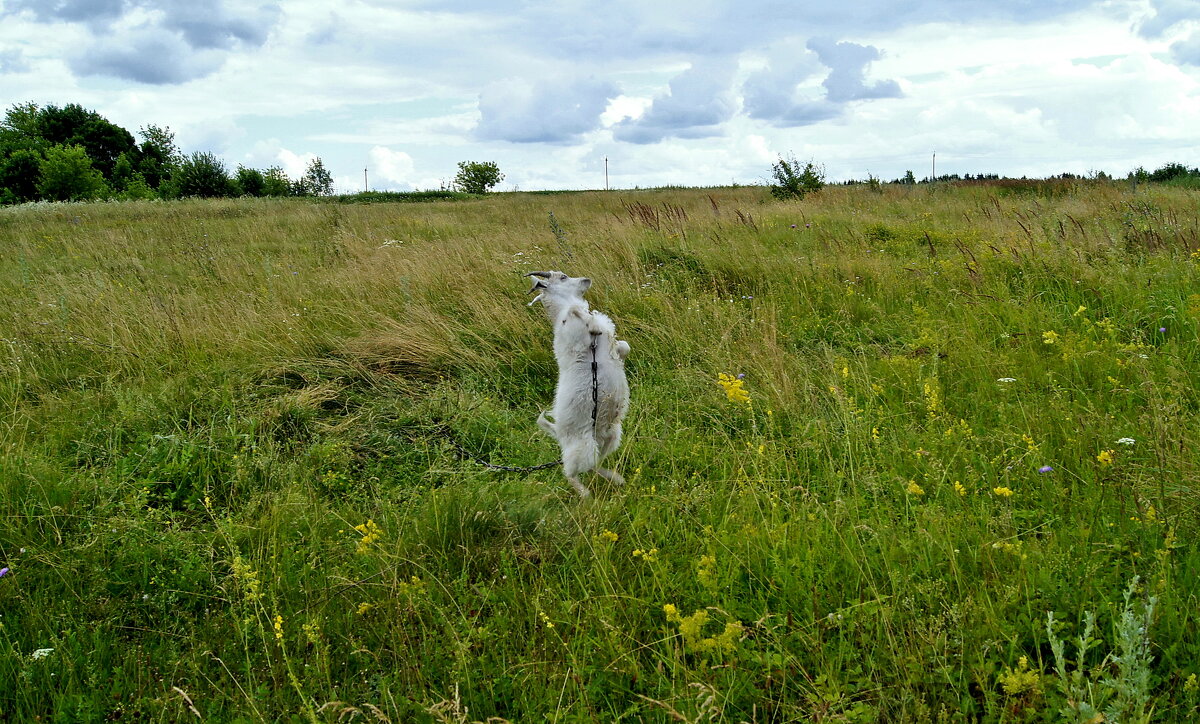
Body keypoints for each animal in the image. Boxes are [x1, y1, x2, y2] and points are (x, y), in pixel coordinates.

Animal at [528, 270, 633, 499]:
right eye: (563, 278)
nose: (587, 279)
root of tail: (558, 433)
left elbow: (623, 347)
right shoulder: (575, 336)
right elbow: (578, 312)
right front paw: (590, 321)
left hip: (609, 438)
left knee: (593, 465)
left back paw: (617, 479)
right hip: (582, 448)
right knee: (570, 472)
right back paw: (586, 494)